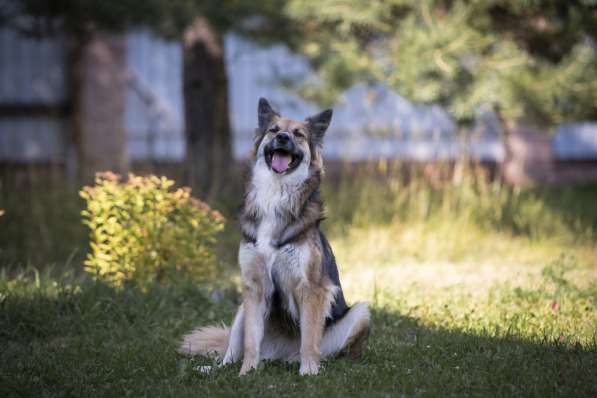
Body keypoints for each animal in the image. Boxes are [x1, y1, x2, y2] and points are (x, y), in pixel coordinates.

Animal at [179, 98, 370, 374]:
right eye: (274, 130)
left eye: (298, 134)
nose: (282, 137)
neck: (276, 193)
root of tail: (280, 354)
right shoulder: (255, 287)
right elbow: (250, 343)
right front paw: (246, 373)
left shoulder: (312, 289)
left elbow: (309, 338)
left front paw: (309, 372)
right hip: (242, 310)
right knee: (231, 352)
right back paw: (218, 369)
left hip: (361, 313)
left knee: (323, 350)